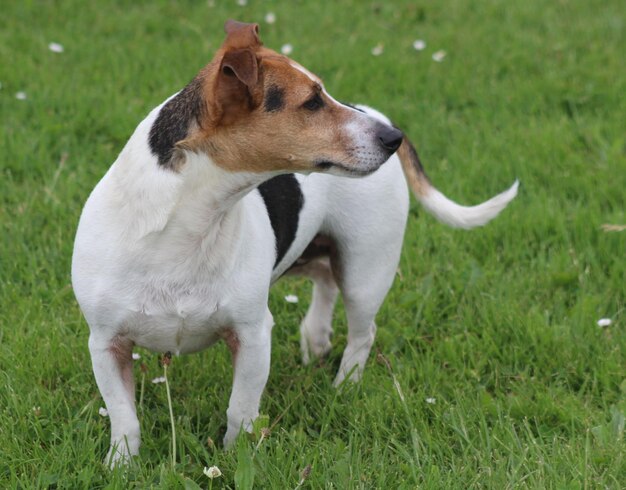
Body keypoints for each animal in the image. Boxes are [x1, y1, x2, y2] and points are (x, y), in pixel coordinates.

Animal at [70, 19, 516, 464]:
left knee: (361, 331)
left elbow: (241, 410)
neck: (189, 222)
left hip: (365, 273)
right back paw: (315, 337)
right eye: (312, 102)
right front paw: (121, 465)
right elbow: (124, 417)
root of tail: (375, 111)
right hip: (321, 254)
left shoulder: (252, 335)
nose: (396, 138)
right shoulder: (106, 343)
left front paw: (237, 459)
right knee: (325, 281)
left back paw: (344, 386)